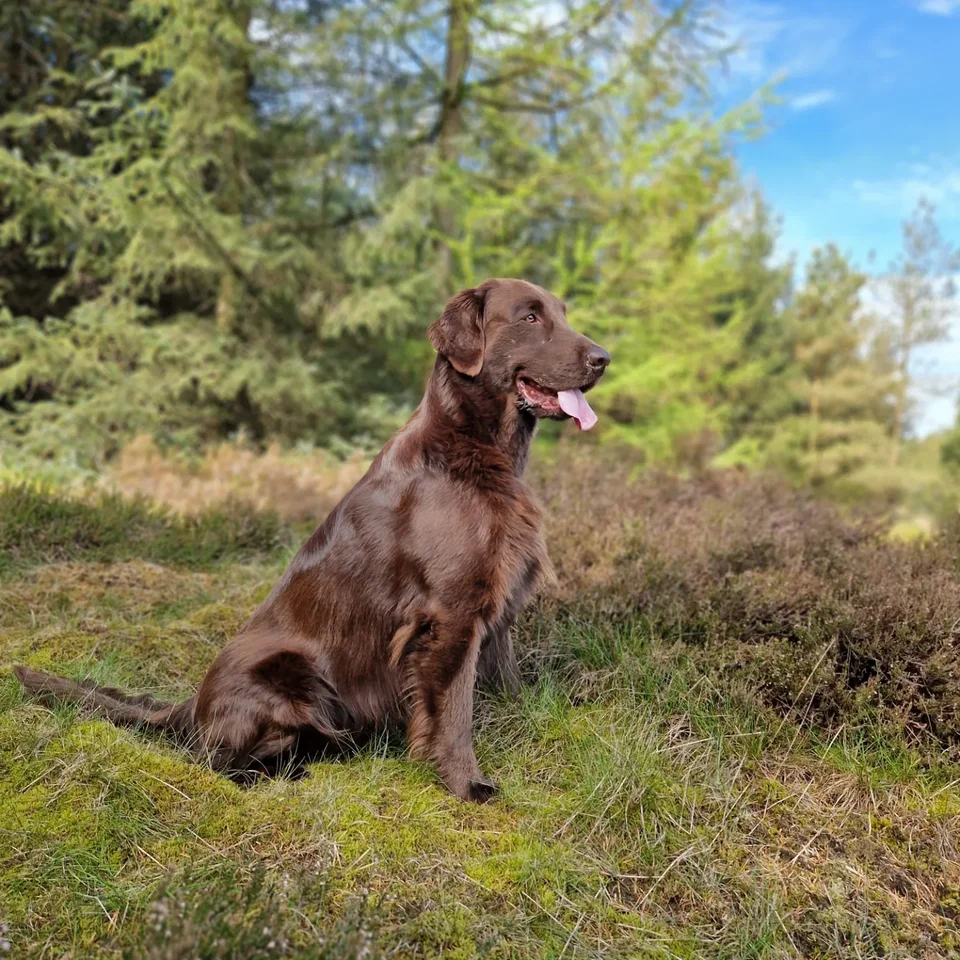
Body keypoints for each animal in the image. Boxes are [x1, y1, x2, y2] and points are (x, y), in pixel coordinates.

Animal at [15, 280, 612, 804]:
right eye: (530, 317)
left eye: (562, 313)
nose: (603, 358)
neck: (475, 447)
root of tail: (192, 704)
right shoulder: (449, 613)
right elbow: (453, 711)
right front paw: (467, 784)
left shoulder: (497, 606)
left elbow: (506, 682)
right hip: (288, 676)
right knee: (213, 760)